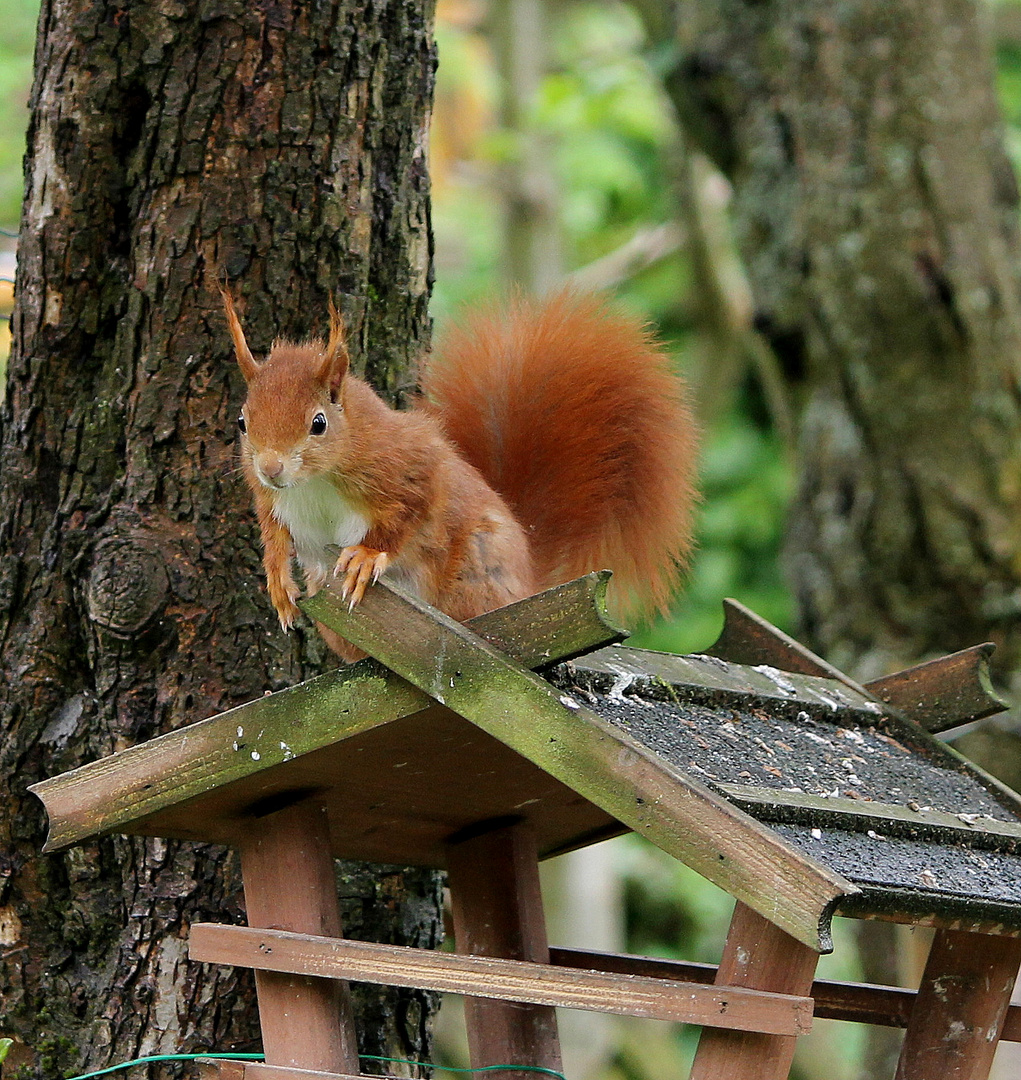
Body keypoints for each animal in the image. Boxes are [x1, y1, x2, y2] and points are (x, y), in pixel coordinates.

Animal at [223, 289, 695, 656]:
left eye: (318, 423)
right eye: (243, 422)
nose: (270, 467)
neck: (313, 483)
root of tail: (529, 579)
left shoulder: (407, 464)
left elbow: (409, 511)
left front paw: (367, 555)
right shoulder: (272, 500)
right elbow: (273, 536)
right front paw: (278, 582)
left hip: (473, 576)